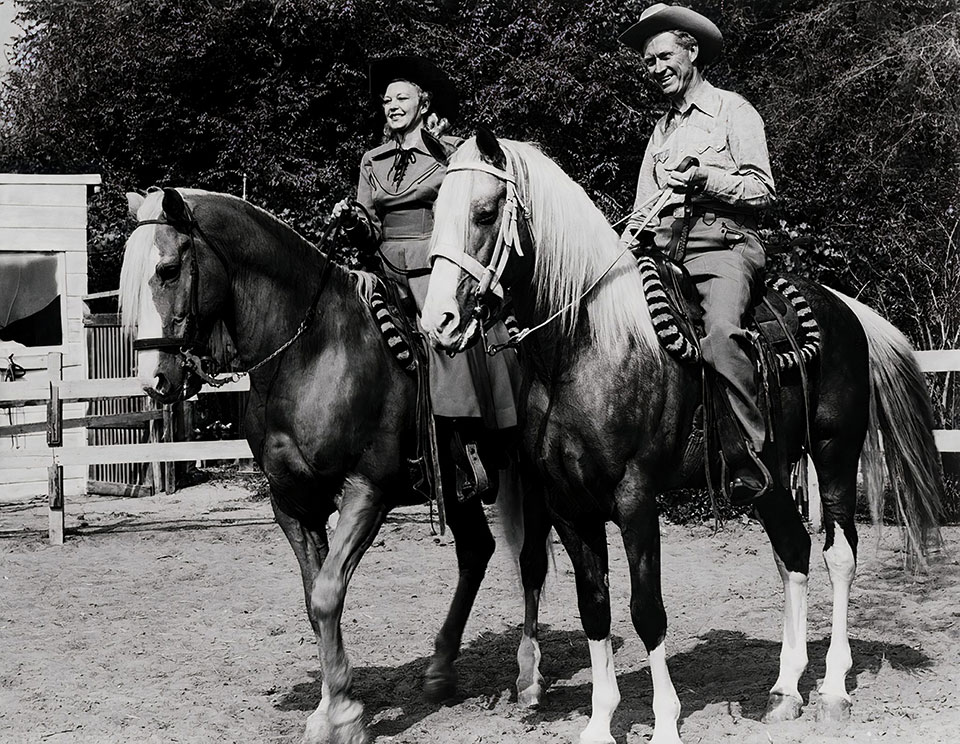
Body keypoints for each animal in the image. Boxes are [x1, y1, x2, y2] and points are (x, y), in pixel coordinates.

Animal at [120, 187, 552, 744]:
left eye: (169, 269)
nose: (154, 380)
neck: (312, 349)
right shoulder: (293, 503)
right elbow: (314, 600)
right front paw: (333, 700)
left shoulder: (367, 491)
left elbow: (327, 594)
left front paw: (343, 714)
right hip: (459, 489)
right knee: (477, 551)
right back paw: (440, 669)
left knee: (531, 562)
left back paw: (528, 676)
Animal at [422, 132, 944, 744]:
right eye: (435, 210)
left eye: (484, 212)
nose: (438, 322)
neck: (587, 348)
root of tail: (845, 309)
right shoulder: (569, 507)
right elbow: (594, 607)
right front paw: (599, 723)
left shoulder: (636, 500)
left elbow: (647, 610)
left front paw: (666, 723)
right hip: (766, 475)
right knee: (792, 553)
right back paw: (786, 689)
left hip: (835, 453)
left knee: (838, 553)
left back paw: (834, 688)